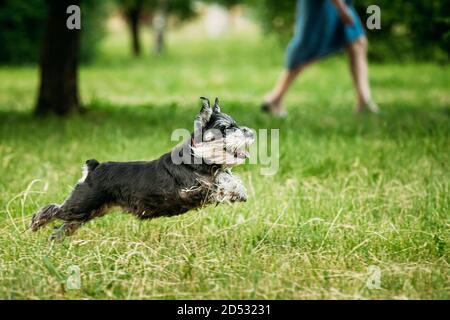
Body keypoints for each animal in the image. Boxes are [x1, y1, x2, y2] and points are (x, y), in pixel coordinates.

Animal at [30, 97, 255, 240]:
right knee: (52, 210)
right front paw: (233, 190)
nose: (251, 133)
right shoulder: (190, 190)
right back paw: (35, 224)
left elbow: (225, 177)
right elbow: (217, 184)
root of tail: (93, 168)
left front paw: (239, 191)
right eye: (226, 128)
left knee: (63, 227)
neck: (199, 155)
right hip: (81, 204)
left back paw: (55, 239)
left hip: (88, 212)